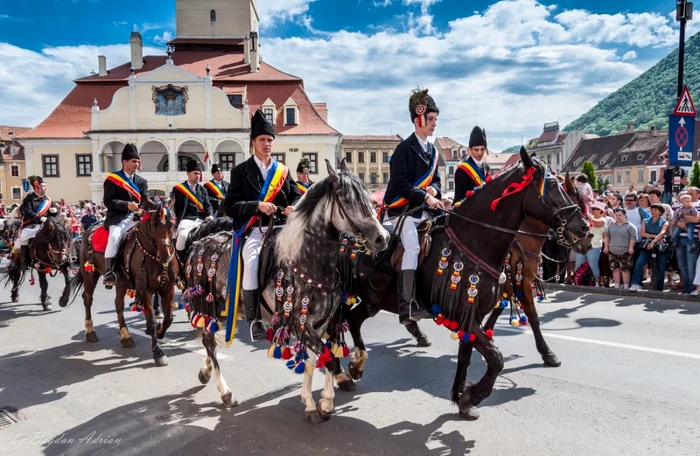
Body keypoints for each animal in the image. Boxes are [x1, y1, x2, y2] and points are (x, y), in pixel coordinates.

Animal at [68, 198, 178, 366]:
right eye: (153, 224)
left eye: (172, 223)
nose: (165, 256)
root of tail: (90, 229)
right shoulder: (145, 290)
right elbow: (151, 322)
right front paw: (158, 352)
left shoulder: (168, 289)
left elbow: (168, 318)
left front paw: (160, 332)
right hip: (90, 274)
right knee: (87, 299)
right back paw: (90, 331)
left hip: (120, 283)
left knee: (118, 305)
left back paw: (125, 336)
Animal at [180, 160, 388, 420]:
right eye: (349, 201)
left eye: (369, 199)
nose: (382, 237)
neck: (307, 260)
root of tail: (199, 242)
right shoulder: (300, 323)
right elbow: (328, 359)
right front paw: (325, 403)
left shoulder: (318, 324)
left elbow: (313, 360)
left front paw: (310, 403)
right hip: (209, 305)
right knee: (209, 342)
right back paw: (225, 392)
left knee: (210, 340)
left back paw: (206, 372)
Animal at [334, 150, 592, 420]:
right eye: (552, 186)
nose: (586, 231)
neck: (475, 241)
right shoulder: (485, 302)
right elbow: (501, 352)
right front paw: (474, 394)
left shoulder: (475, 311)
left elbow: (468, 355)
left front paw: (462, 398)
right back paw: (342, 374)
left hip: (372, 301)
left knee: (353, 321)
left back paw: (357, 365)